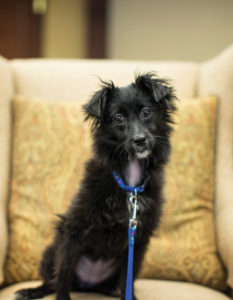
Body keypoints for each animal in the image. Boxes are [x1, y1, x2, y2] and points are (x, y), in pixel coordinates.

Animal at [15, 73, 177, 300]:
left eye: (147, 112)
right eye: (118, 119)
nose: (140, 140)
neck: (130, 183)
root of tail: (87, 285)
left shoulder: (139, 240)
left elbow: (128, 279)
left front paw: (129, 296)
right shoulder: (72, 229)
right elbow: (63, 272)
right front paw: (61, 297)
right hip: (50, 252)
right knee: (52, 280)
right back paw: (32, 290)